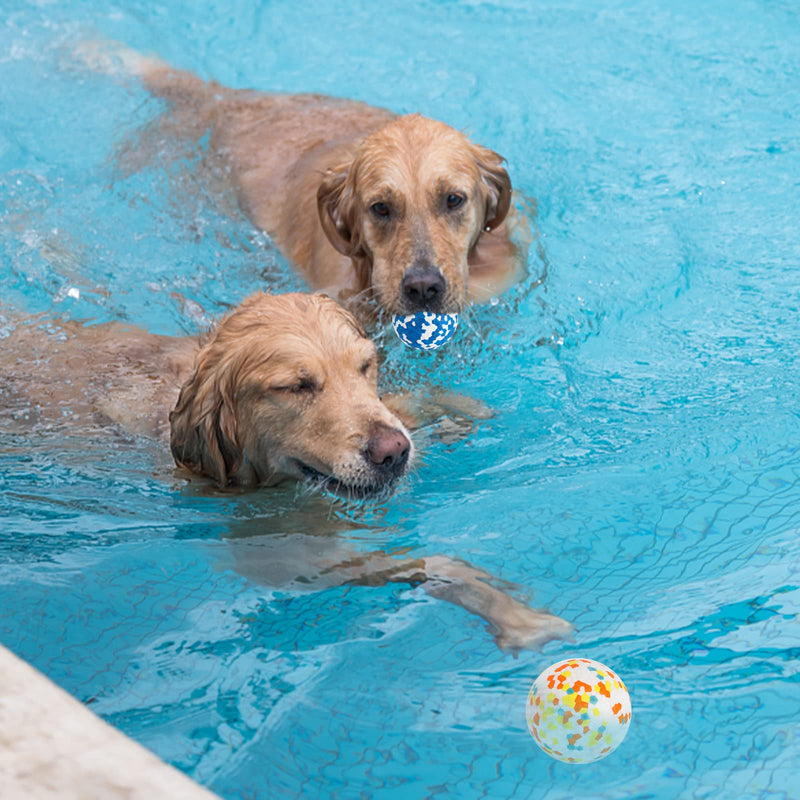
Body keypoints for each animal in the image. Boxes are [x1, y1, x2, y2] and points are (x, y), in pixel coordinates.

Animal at [3, 294, 572, 648]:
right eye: (296, 386)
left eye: (365, 366)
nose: (394, 453)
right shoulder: (286, 554)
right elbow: (432, 563)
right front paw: (515, 614)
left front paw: (459, 414)